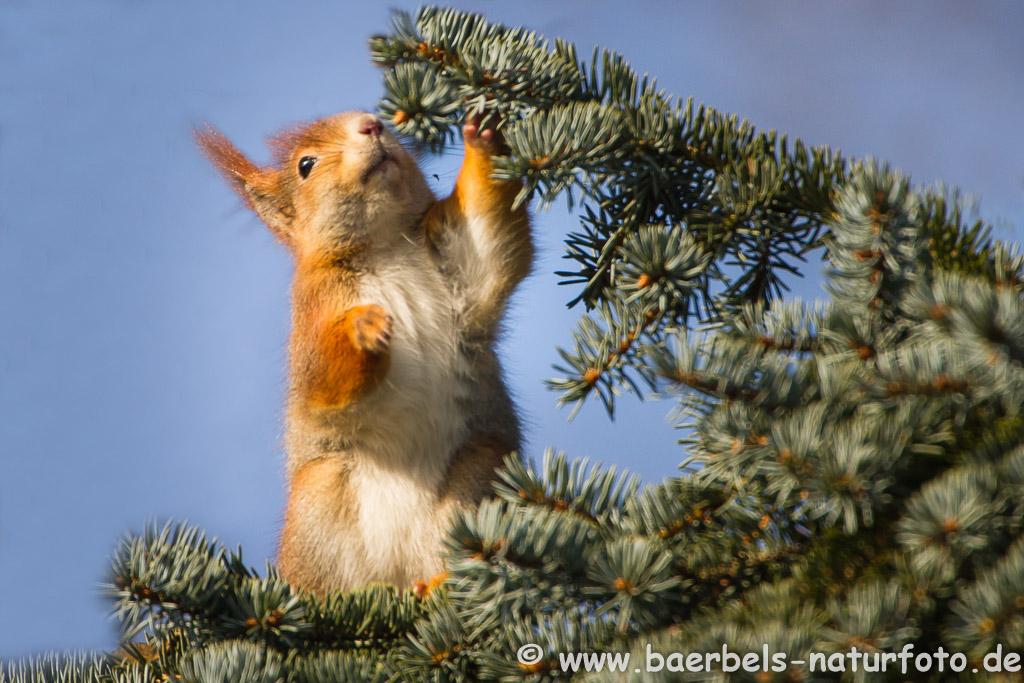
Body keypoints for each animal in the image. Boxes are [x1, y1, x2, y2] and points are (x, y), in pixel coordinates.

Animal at [194, 111, 532, 593]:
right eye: (306, 165)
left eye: (379, 118)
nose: (370, 125)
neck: (383, 247)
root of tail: (398, 573)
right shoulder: (311, 320)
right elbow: (322, 384)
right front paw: (361, 328)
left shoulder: (461, 259)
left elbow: (491, 237)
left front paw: (483, 138)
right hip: (319, 505)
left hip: (479, 479)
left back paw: (441, 582)